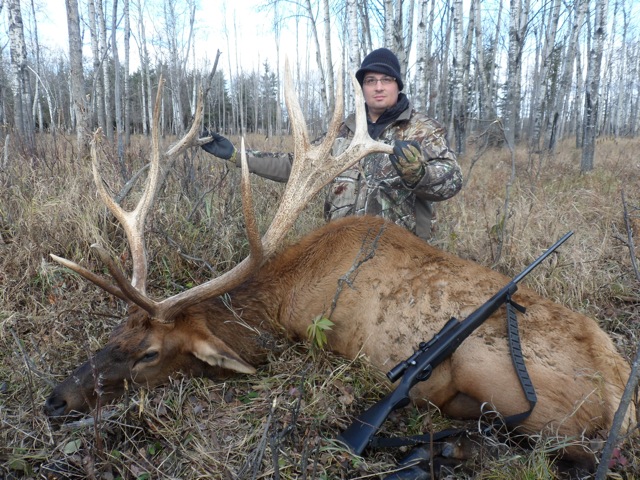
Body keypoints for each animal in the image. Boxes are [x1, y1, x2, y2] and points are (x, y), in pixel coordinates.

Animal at [44, 64, 634, 472]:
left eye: (149, 353)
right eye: (115, 330)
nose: (56, 399)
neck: (280, 298)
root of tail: (622, 396)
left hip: (493, 374)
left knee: (563, 452)